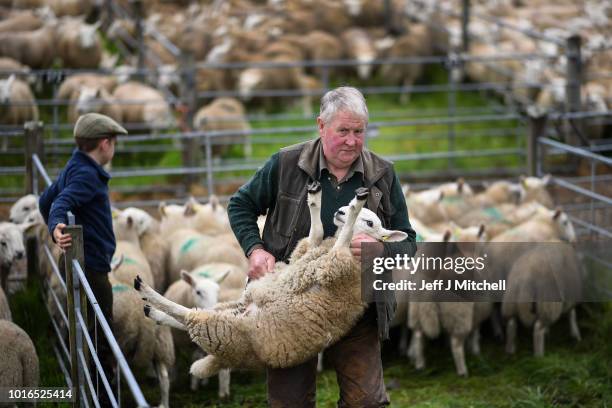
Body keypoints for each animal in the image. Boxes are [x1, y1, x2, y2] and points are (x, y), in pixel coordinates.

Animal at [134, 182, 406, 380]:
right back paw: (153, 311)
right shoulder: (305, 253)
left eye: (371, 222)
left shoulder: (335, 267)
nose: (340, 211)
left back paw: (147, 293)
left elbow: (343, 234)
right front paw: (317, 198)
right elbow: (316, 233)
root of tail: (228, 359)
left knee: (189, 317)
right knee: (190, 314)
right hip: (234, 307)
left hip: (223, 331)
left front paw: (356, 206)